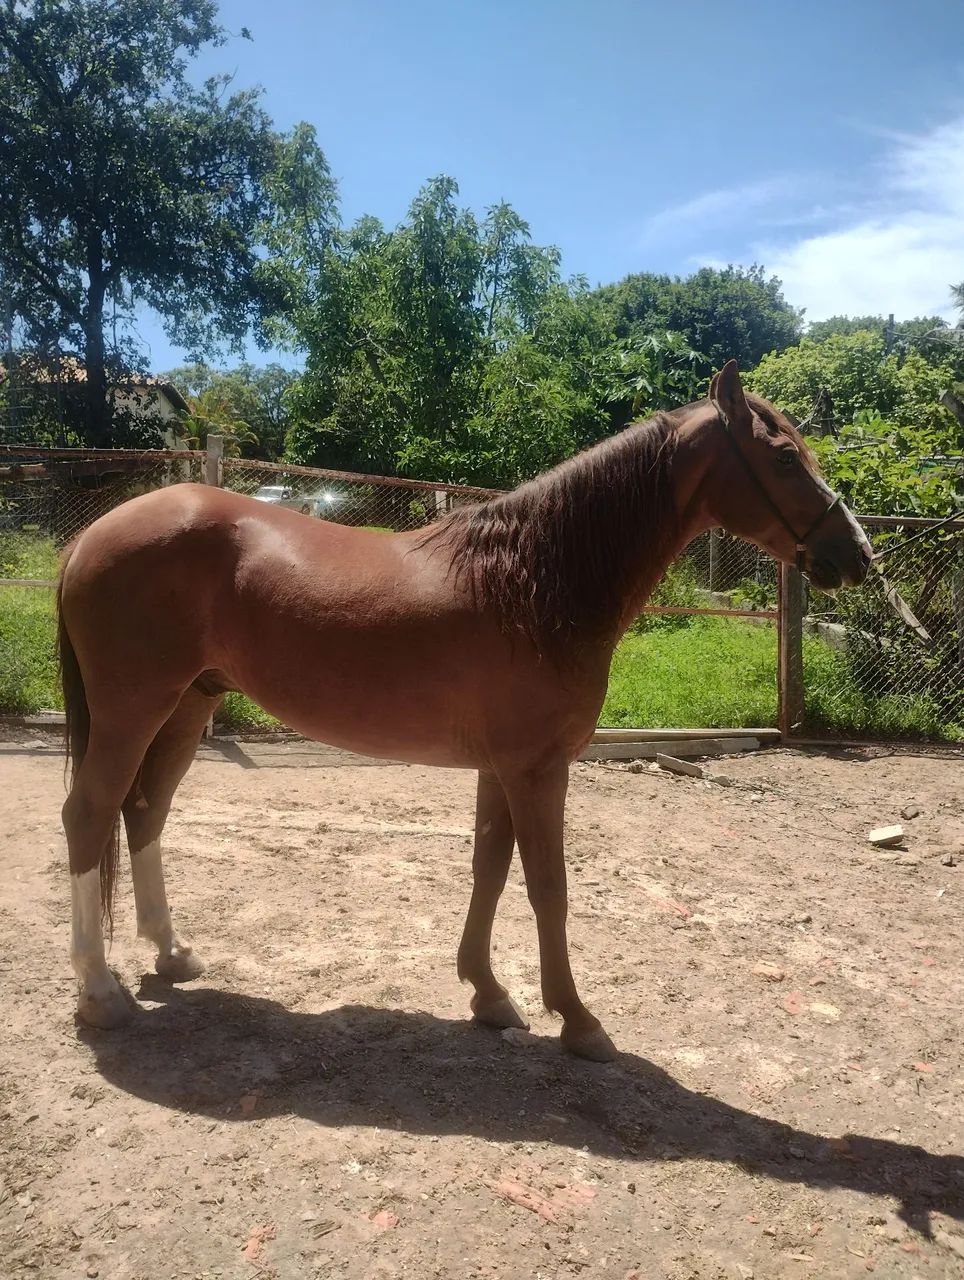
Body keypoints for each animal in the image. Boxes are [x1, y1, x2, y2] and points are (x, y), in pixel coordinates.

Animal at [57, 361, 871, 1061]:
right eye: (786, 459)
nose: (858, 554)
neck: (533, 580)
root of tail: (90, 535)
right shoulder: (538, 769)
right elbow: (548, 886)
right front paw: (578, 1020)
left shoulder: (501, 768)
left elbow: (488, 868)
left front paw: (488, 995)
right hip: (135, 709)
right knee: (90, 815)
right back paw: (99, 990)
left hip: (186, 708)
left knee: (145, 813)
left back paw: (171, 954)